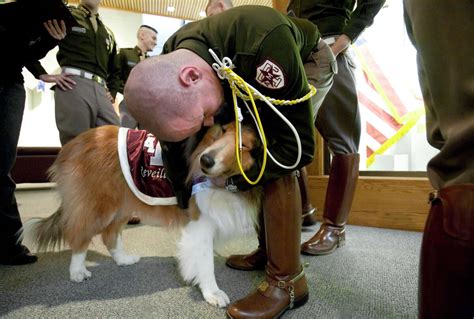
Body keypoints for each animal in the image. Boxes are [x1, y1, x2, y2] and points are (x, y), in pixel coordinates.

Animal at [20, 124, 262, 308]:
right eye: (220, 132)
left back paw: (123, 259)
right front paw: (212, 292)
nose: (206, 161)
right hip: (98, 207)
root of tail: (73, 144)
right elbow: (205, 263)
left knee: (109, 236)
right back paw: (78, 271)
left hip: (122, 206)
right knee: (80, 236)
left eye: (243, 145)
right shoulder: (200, 223)